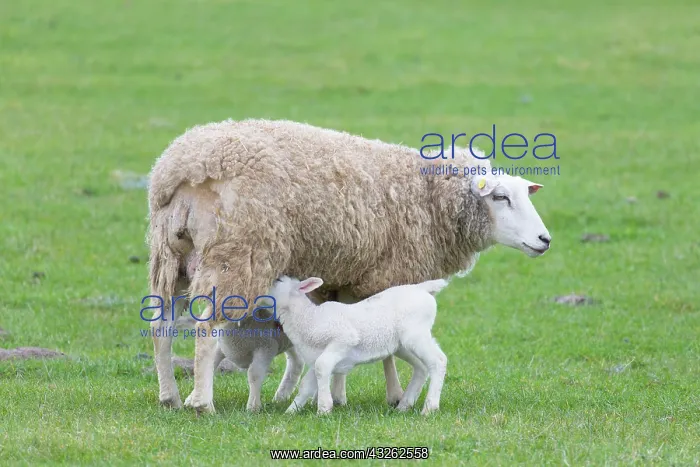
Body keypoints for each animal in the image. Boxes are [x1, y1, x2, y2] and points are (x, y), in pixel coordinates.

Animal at [270, 276, 449, 415]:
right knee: (422, 367)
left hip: (415, 334)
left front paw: (323, 409)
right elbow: (307, 384)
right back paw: (404, 406)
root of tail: (422, 288)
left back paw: (429, 408)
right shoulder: (315, 357)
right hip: (402, 345)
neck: (308, 318)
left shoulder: (344, 339)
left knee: (438, 360)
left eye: (278, 281)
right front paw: (291, 411)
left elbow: (322, 366)